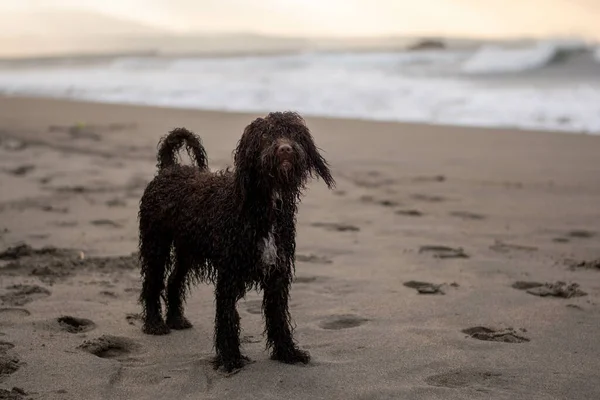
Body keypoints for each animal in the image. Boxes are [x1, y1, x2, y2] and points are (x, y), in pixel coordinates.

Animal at [138, 110, 336, 372]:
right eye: (265, 136)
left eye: (293, 134)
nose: (285, 149)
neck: (261, 206)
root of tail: (169, 169)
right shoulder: (229, 274)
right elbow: (227, 317)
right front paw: (230, 358)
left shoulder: (277, 273)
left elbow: (278, 317)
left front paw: (287, 352)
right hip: (156, 243)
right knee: (153, 282)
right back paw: (154, 323)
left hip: (187, 250)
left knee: (173, 281)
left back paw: (176, 319)